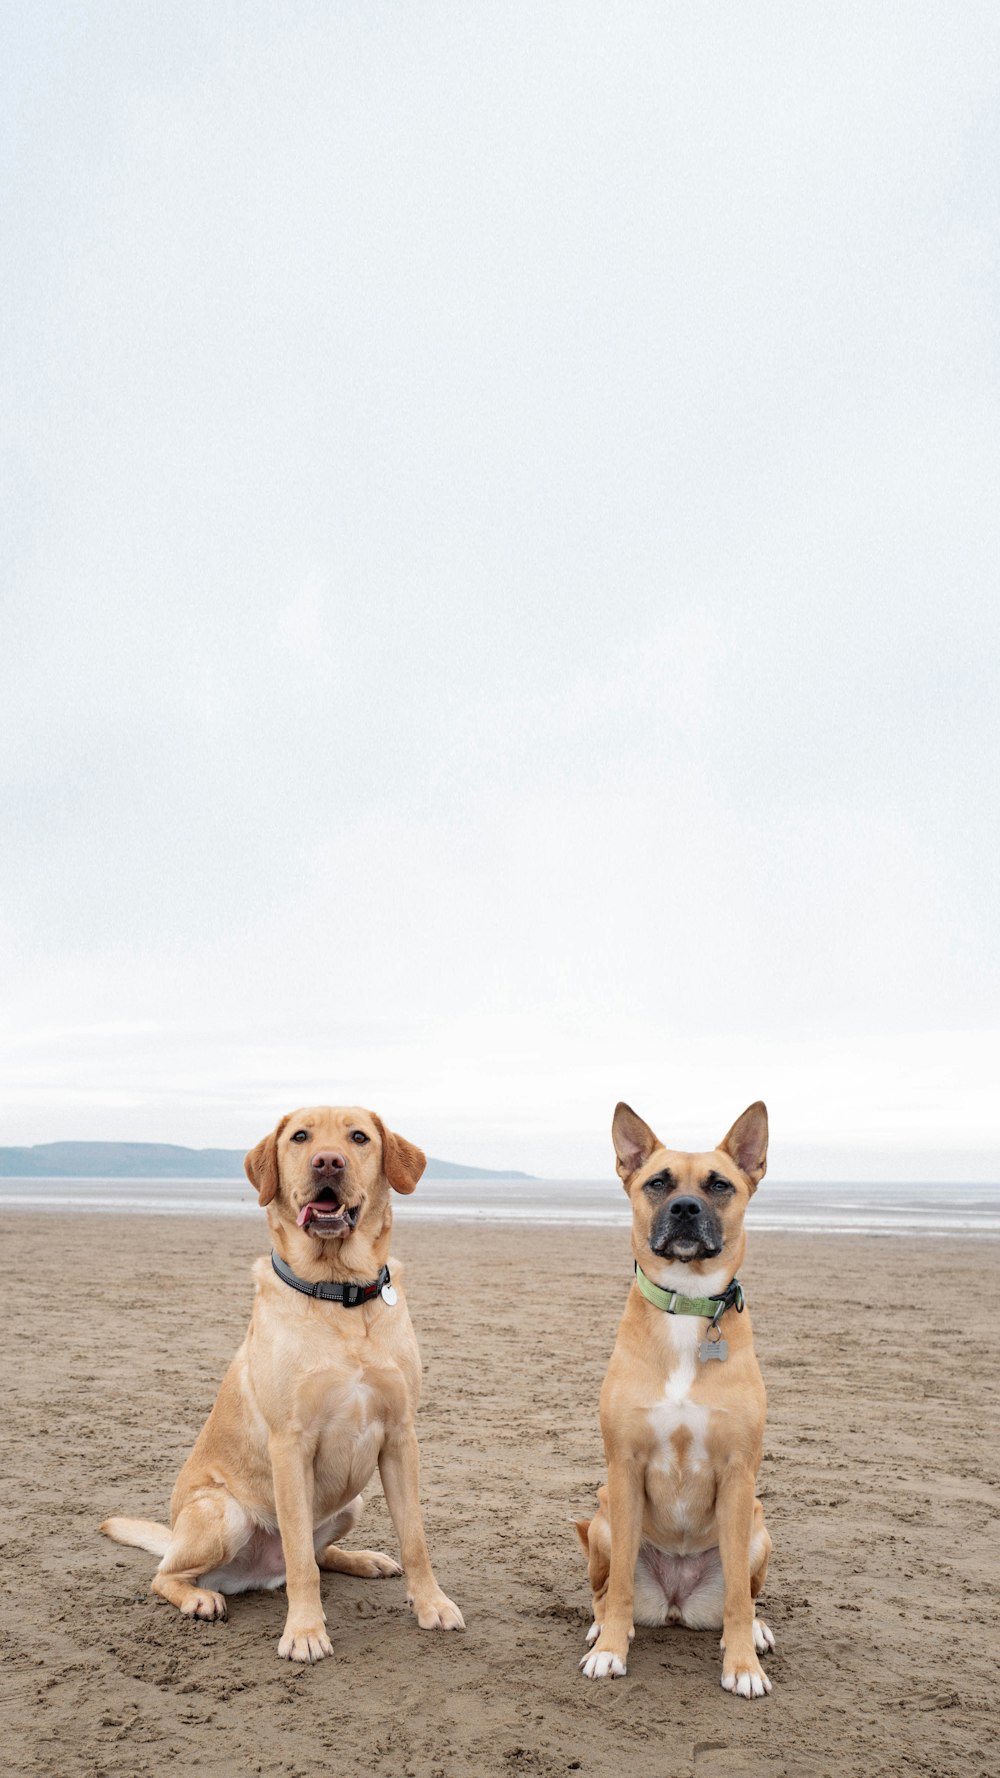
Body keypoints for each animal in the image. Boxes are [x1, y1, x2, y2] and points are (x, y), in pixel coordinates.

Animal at [101, 1102, 459, 1657]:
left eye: (359, 1137)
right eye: (300, 1137)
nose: (328, 1161)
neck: (339, 1294)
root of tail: (249, 1576)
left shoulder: (401, 1437)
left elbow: (415, 1538)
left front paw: (431, 1604)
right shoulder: (290, 1445)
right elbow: (298, 1555)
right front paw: (306, 1631)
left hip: (352, 1502)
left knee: (318, 1555)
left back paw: (363, 1559)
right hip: (222, 1513)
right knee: (170, 1574)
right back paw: (198, 1598)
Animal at [576, 1095, 772, 1692]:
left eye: (720, 1184)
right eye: (658, 1182)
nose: (685, 1208)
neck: (686, 1307)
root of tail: (677, 1602)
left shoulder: (738, 1473)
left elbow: (739, 1600)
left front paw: (742, 1664)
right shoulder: (625, 1467)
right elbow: (617, 1588)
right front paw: (611, 1651)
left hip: (758, 1526)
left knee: (745, 1595)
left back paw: (755, 1630)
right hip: (604, 1516)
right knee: (601, 1591)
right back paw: (604, 1628)